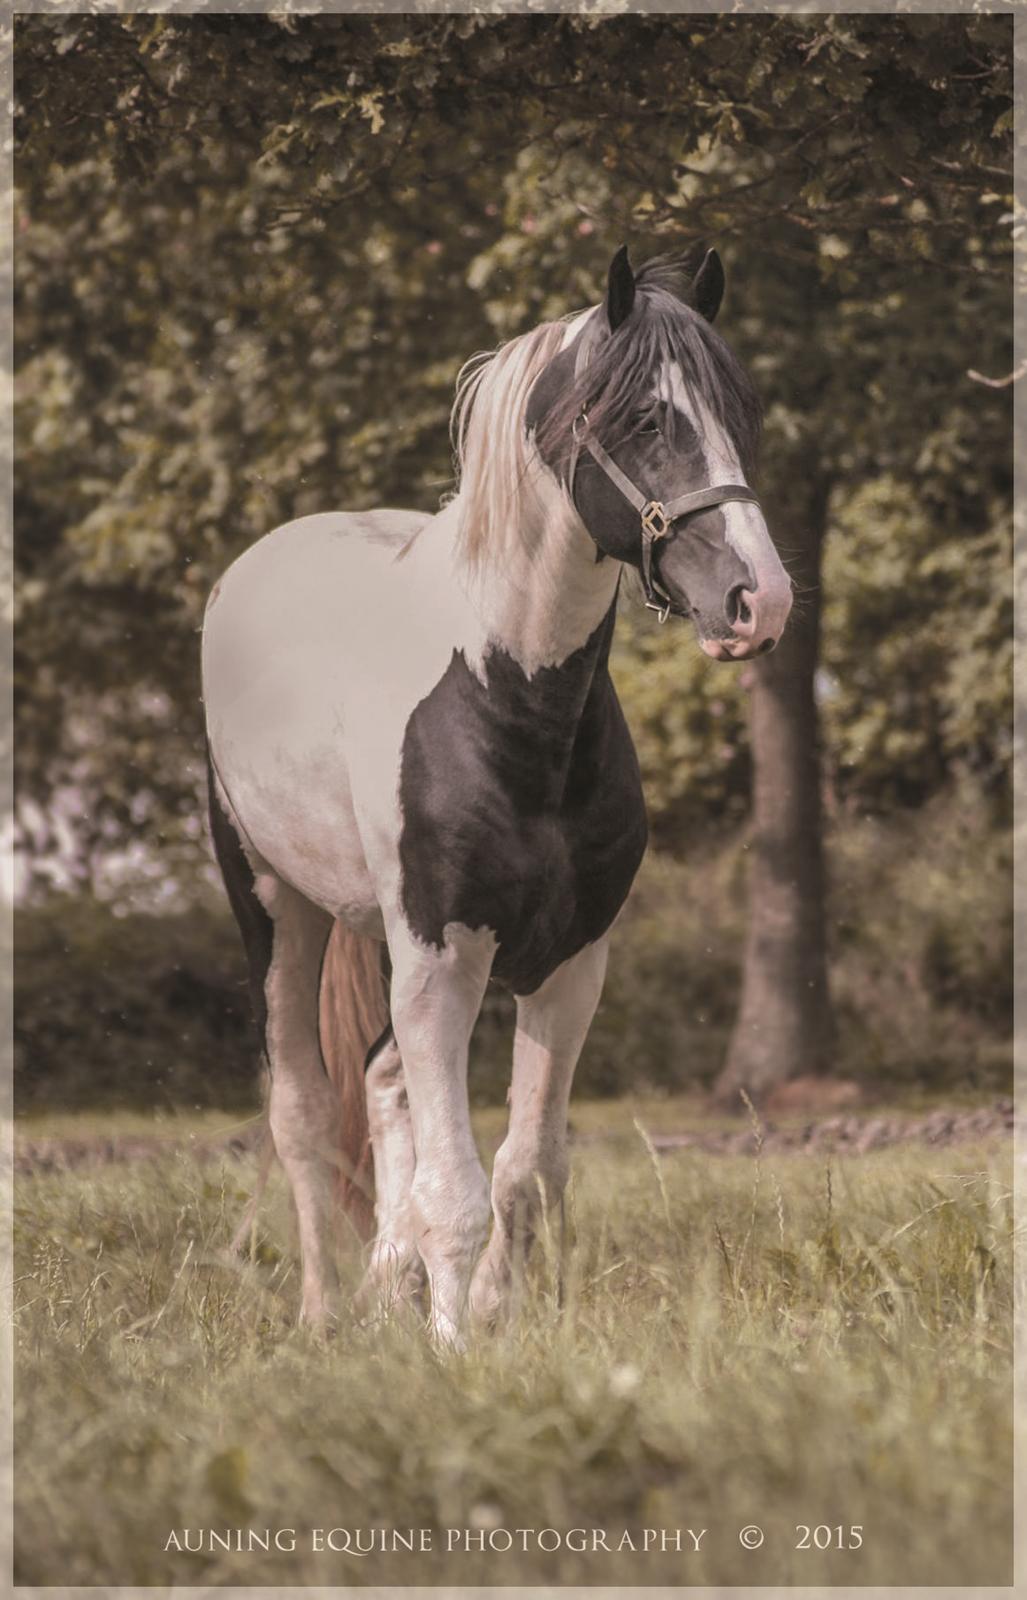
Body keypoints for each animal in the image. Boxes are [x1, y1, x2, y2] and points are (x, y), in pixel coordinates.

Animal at [199, 243, 793, 1344]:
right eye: (644, 419)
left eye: (739, 407)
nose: (757, 601)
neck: (505, 704)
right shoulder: (441, 959)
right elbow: (457, 1190)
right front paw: (451, 1346)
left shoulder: (569, 966)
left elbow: (524, 1171)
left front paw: (484, 1316)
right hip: (276, 906)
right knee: (303, 1112)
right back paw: (322, 1312)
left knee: (382, 1081)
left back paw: (386, 1281)